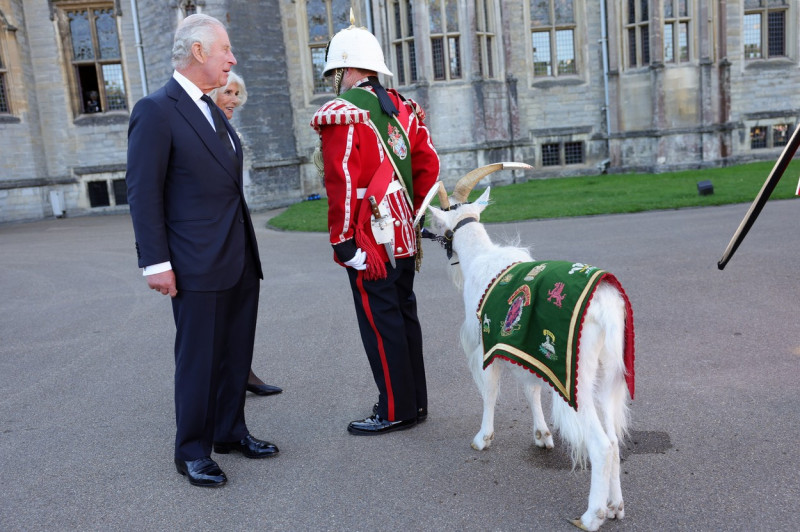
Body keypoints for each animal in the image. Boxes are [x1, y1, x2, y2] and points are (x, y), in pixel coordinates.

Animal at [422, 163, 636, 532]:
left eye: (442, 227)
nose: (430, 236)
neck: (482, 257)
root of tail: (607, 307)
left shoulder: (486, 343)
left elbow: (490, 390)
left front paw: (483, 438)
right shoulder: (523, 346)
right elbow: (530, 388)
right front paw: (541, 435)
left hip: (577, 378)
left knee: (603, 445)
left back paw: (591, 516)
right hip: (609, 371)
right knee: (614, 434)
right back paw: (614, 506)